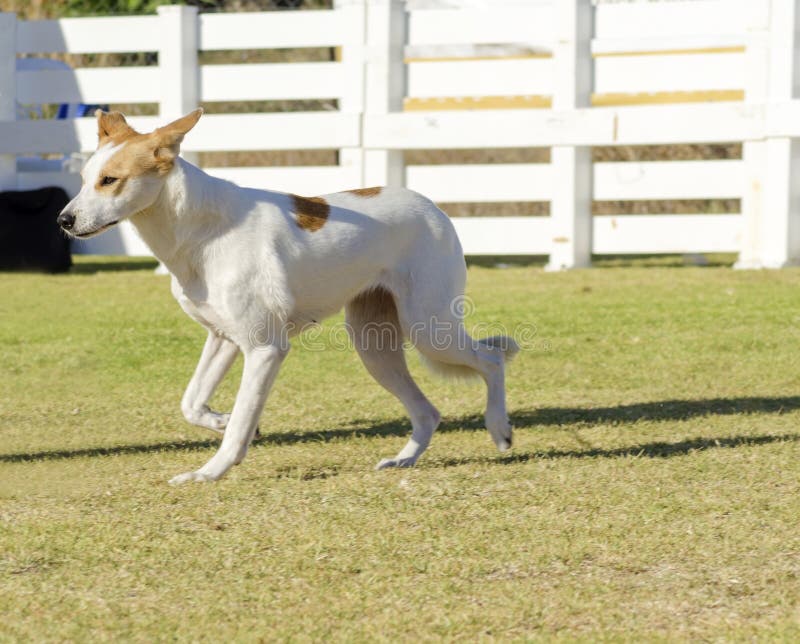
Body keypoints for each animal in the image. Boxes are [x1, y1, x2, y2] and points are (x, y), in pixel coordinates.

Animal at [56, 110, 520, 484]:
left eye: (110, 180)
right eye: (84, 181)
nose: (64, 220)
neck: (201, 230)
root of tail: (433, 206)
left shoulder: (264, 349)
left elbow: (241, 421)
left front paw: (210, 471)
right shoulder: (223, 339)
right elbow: (192, 403)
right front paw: (223, 422)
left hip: (428, 326)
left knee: (492, 359)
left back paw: (499, 429)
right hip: (374, 346)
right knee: (428, 412)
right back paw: (403, 460)